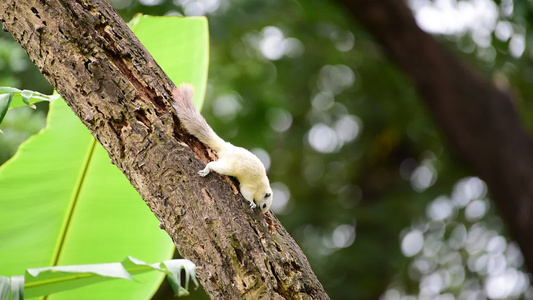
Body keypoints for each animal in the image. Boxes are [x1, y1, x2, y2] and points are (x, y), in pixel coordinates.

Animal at [170, 82, 272, 213]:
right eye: (264, 205)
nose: (263, 211)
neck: (262, 187)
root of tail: (227, 148)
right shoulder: (250, 188)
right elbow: (246, 194)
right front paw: (252, 203)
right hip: (228, 166)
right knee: (213, 165)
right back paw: (205, 171)